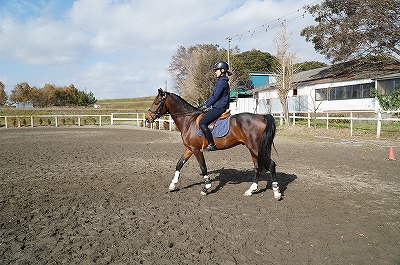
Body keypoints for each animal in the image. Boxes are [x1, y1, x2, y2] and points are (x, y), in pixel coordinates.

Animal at [145, 87, 282, 199]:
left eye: (156, 102)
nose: (147, 118)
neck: (188, 120)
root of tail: (262, 117)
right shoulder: (189, 149)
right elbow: (179, 164)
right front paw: (173, 185)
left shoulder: (196, 150)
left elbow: (203, 167)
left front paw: (206, 188)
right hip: (253, 149)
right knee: (258, 167)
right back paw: (250, 190)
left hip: (255, 148)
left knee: (271, 165)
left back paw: (277, 192)